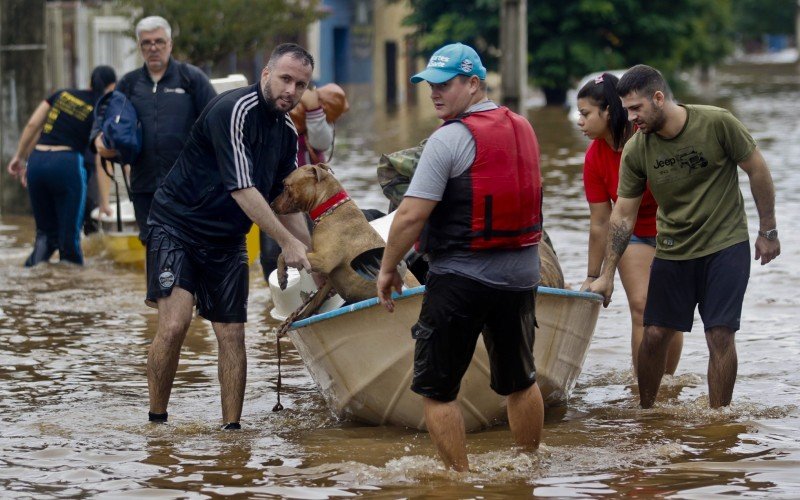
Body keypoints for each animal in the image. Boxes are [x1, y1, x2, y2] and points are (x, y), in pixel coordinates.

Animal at [272, 164, 416, 310]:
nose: (271, 204)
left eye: (286, 186)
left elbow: (282, 255)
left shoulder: (323, 260)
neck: (330, 208)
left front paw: (281, 275)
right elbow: (313, 304)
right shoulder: (328, 282)